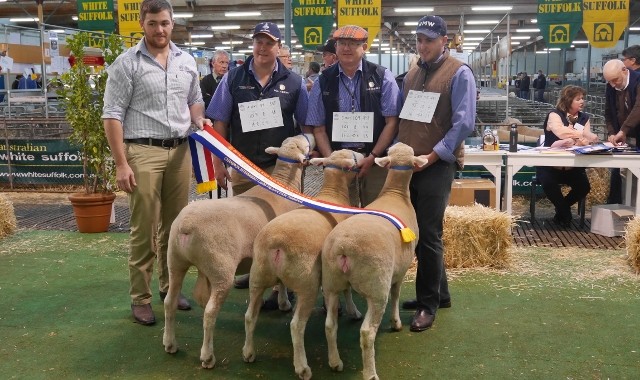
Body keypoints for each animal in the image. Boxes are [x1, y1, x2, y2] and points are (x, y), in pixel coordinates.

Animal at [162, 134, 316, 368]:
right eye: (303, 144)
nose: (311, 135)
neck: (284, 184)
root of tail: (185, 226)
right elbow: (281, 283)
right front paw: (284, 303)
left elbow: (280, 281)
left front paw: (281, 302)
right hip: (221, 269)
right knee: (209, 313)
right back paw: (207, 356)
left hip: (175, 260)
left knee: (169, 302)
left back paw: (170, 344)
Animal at [244, 149, 364, 380]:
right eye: (353, 157)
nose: (364, 154)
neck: (333, 194)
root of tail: (277, 244)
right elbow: (347, 291)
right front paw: (353, 311)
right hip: (306, 284)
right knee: (296, 326)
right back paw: (302, 367)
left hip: (257, 277)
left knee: (249, 316)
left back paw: (248, 353)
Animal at [322, 142, 428, 380]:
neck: (396, 194)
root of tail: (344, 247)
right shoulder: (401, 269)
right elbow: (396, 295)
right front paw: (396, 323)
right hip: (377, 286)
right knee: (367, 332)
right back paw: (370, 372)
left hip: (331, 283)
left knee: (330, 326)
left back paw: (335, 362)